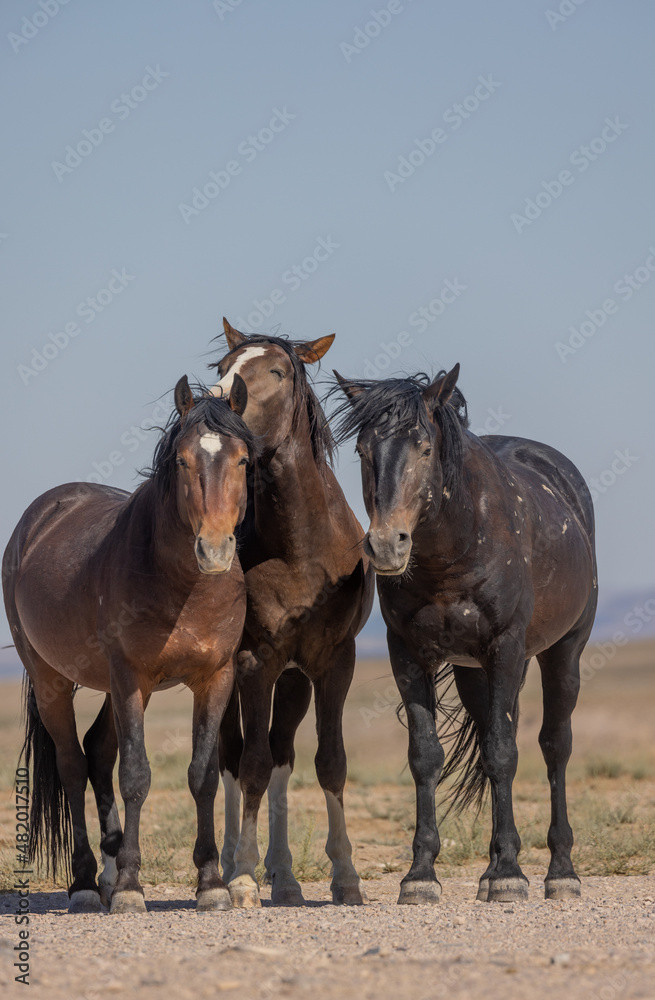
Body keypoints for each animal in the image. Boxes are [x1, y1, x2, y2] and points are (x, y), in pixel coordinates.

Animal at [3, 376, 254, 913]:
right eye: (181, 460)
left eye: (243, 460)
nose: (214, 549)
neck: (184, 586)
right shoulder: (130, 678)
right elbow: (136, 776)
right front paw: (132, 888)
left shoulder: (215, 678)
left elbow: (202, 775)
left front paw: (211, 883)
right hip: (55, 681)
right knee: (73, 765)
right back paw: (83, 883)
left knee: (97, 752)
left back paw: (107, 870)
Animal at [208, 319, 374, 907]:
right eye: (222, 367)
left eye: (277, 371)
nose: (216, 403)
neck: (300, 546)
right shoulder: (255, 663)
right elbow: (251, 766)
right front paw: (241, 878)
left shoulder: (333, 663)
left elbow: (329, 763)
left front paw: (345, 877)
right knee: (233, 758)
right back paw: (229, 865)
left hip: (295, 680)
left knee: (281, 754)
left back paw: (283, 876)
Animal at [332, 365, 597, 905]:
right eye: (364, 449)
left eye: (424, 447)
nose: (386, 545)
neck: (453, 552)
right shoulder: (409, 654)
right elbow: (426, 756)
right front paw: (420, 875)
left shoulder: (506, 648)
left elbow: (502, 754)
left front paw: (511, 875)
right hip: (475, 673)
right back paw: (494, 864)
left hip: (563, 653)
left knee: (553, 746)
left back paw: (560, 871)